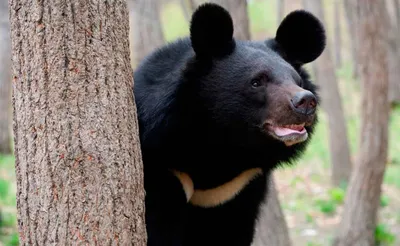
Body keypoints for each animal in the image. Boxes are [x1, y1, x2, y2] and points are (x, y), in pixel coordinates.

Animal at [134, 2, 324, 246]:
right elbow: (159, 226)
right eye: (256, 82)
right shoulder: (164, 168)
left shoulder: (237, 189)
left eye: (297, 81)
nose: (305, 102)